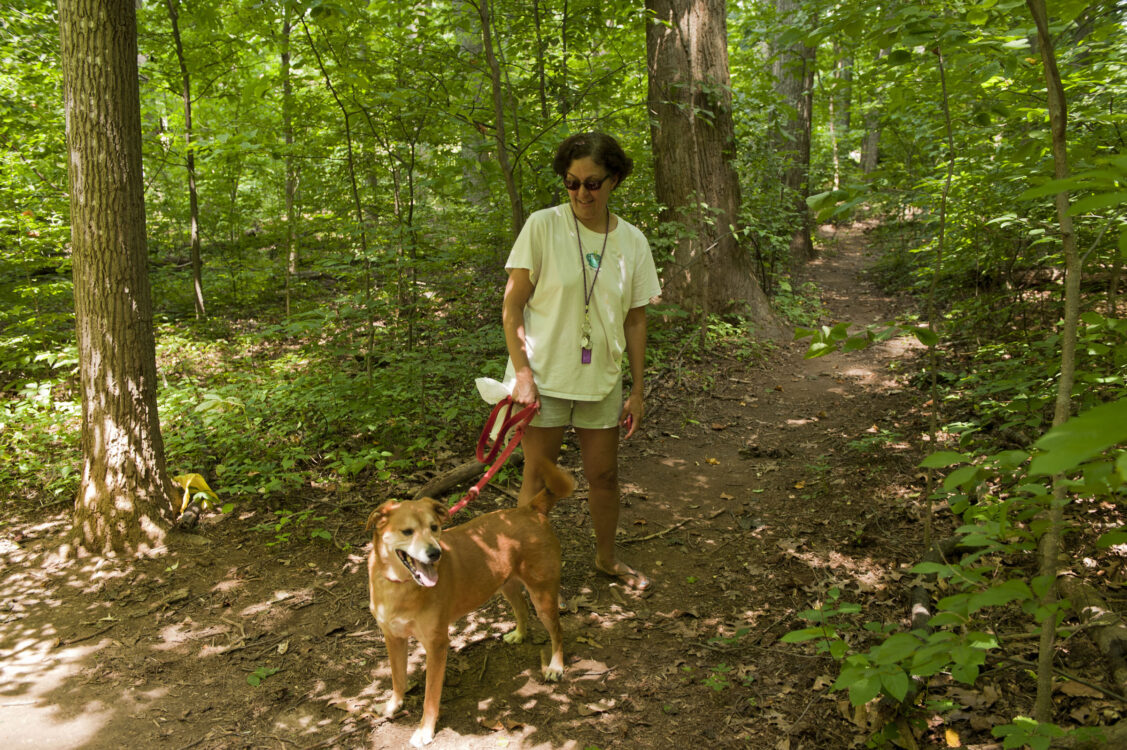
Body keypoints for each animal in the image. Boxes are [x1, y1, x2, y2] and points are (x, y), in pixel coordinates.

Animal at [365, 455, 572, 744]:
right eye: (407, 532)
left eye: (434, 528)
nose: (435, 554)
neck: (399, 586)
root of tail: (531, 509)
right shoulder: (393, 637)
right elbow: (398, 679)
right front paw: (393, 706)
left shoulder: (437, 645)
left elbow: (430, 697)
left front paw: (425, 731)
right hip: (506, 585)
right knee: (522, 610)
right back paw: (519, 634)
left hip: (542, 595)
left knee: (557, 631)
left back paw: (555, 665)